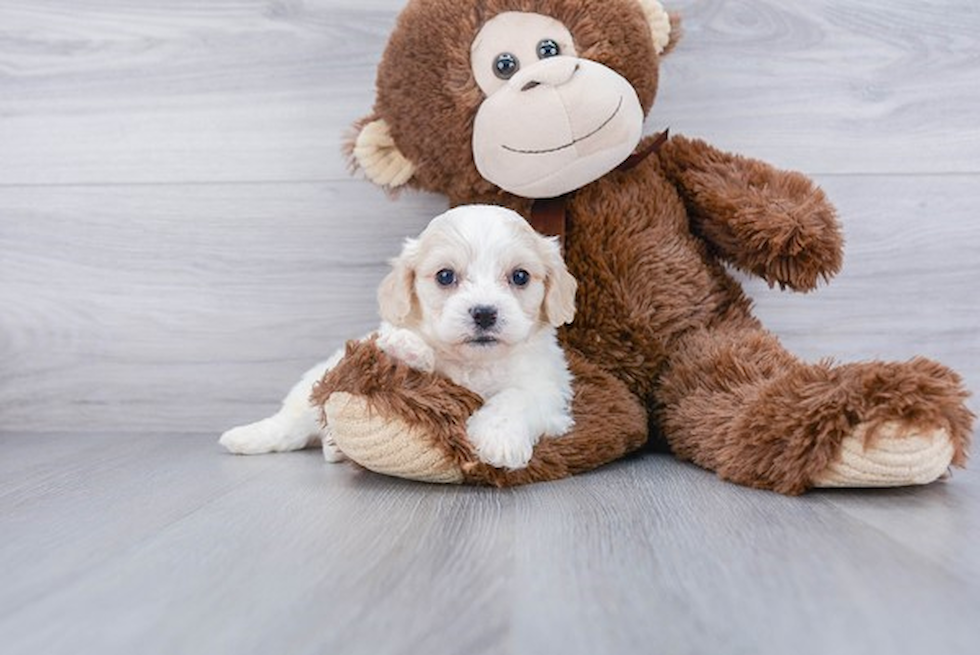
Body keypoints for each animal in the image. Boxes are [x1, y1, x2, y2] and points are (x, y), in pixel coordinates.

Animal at [218, 205, 580, 472]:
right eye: (445, 276)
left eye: (520, 276)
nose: (484, 313)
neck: (475, 363)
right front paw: (407, 348)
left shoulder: (549, 389)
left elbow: (516, 397)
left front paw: (498, 441)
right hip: (310, 388)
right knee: (290, 422)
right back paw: (248, 436)